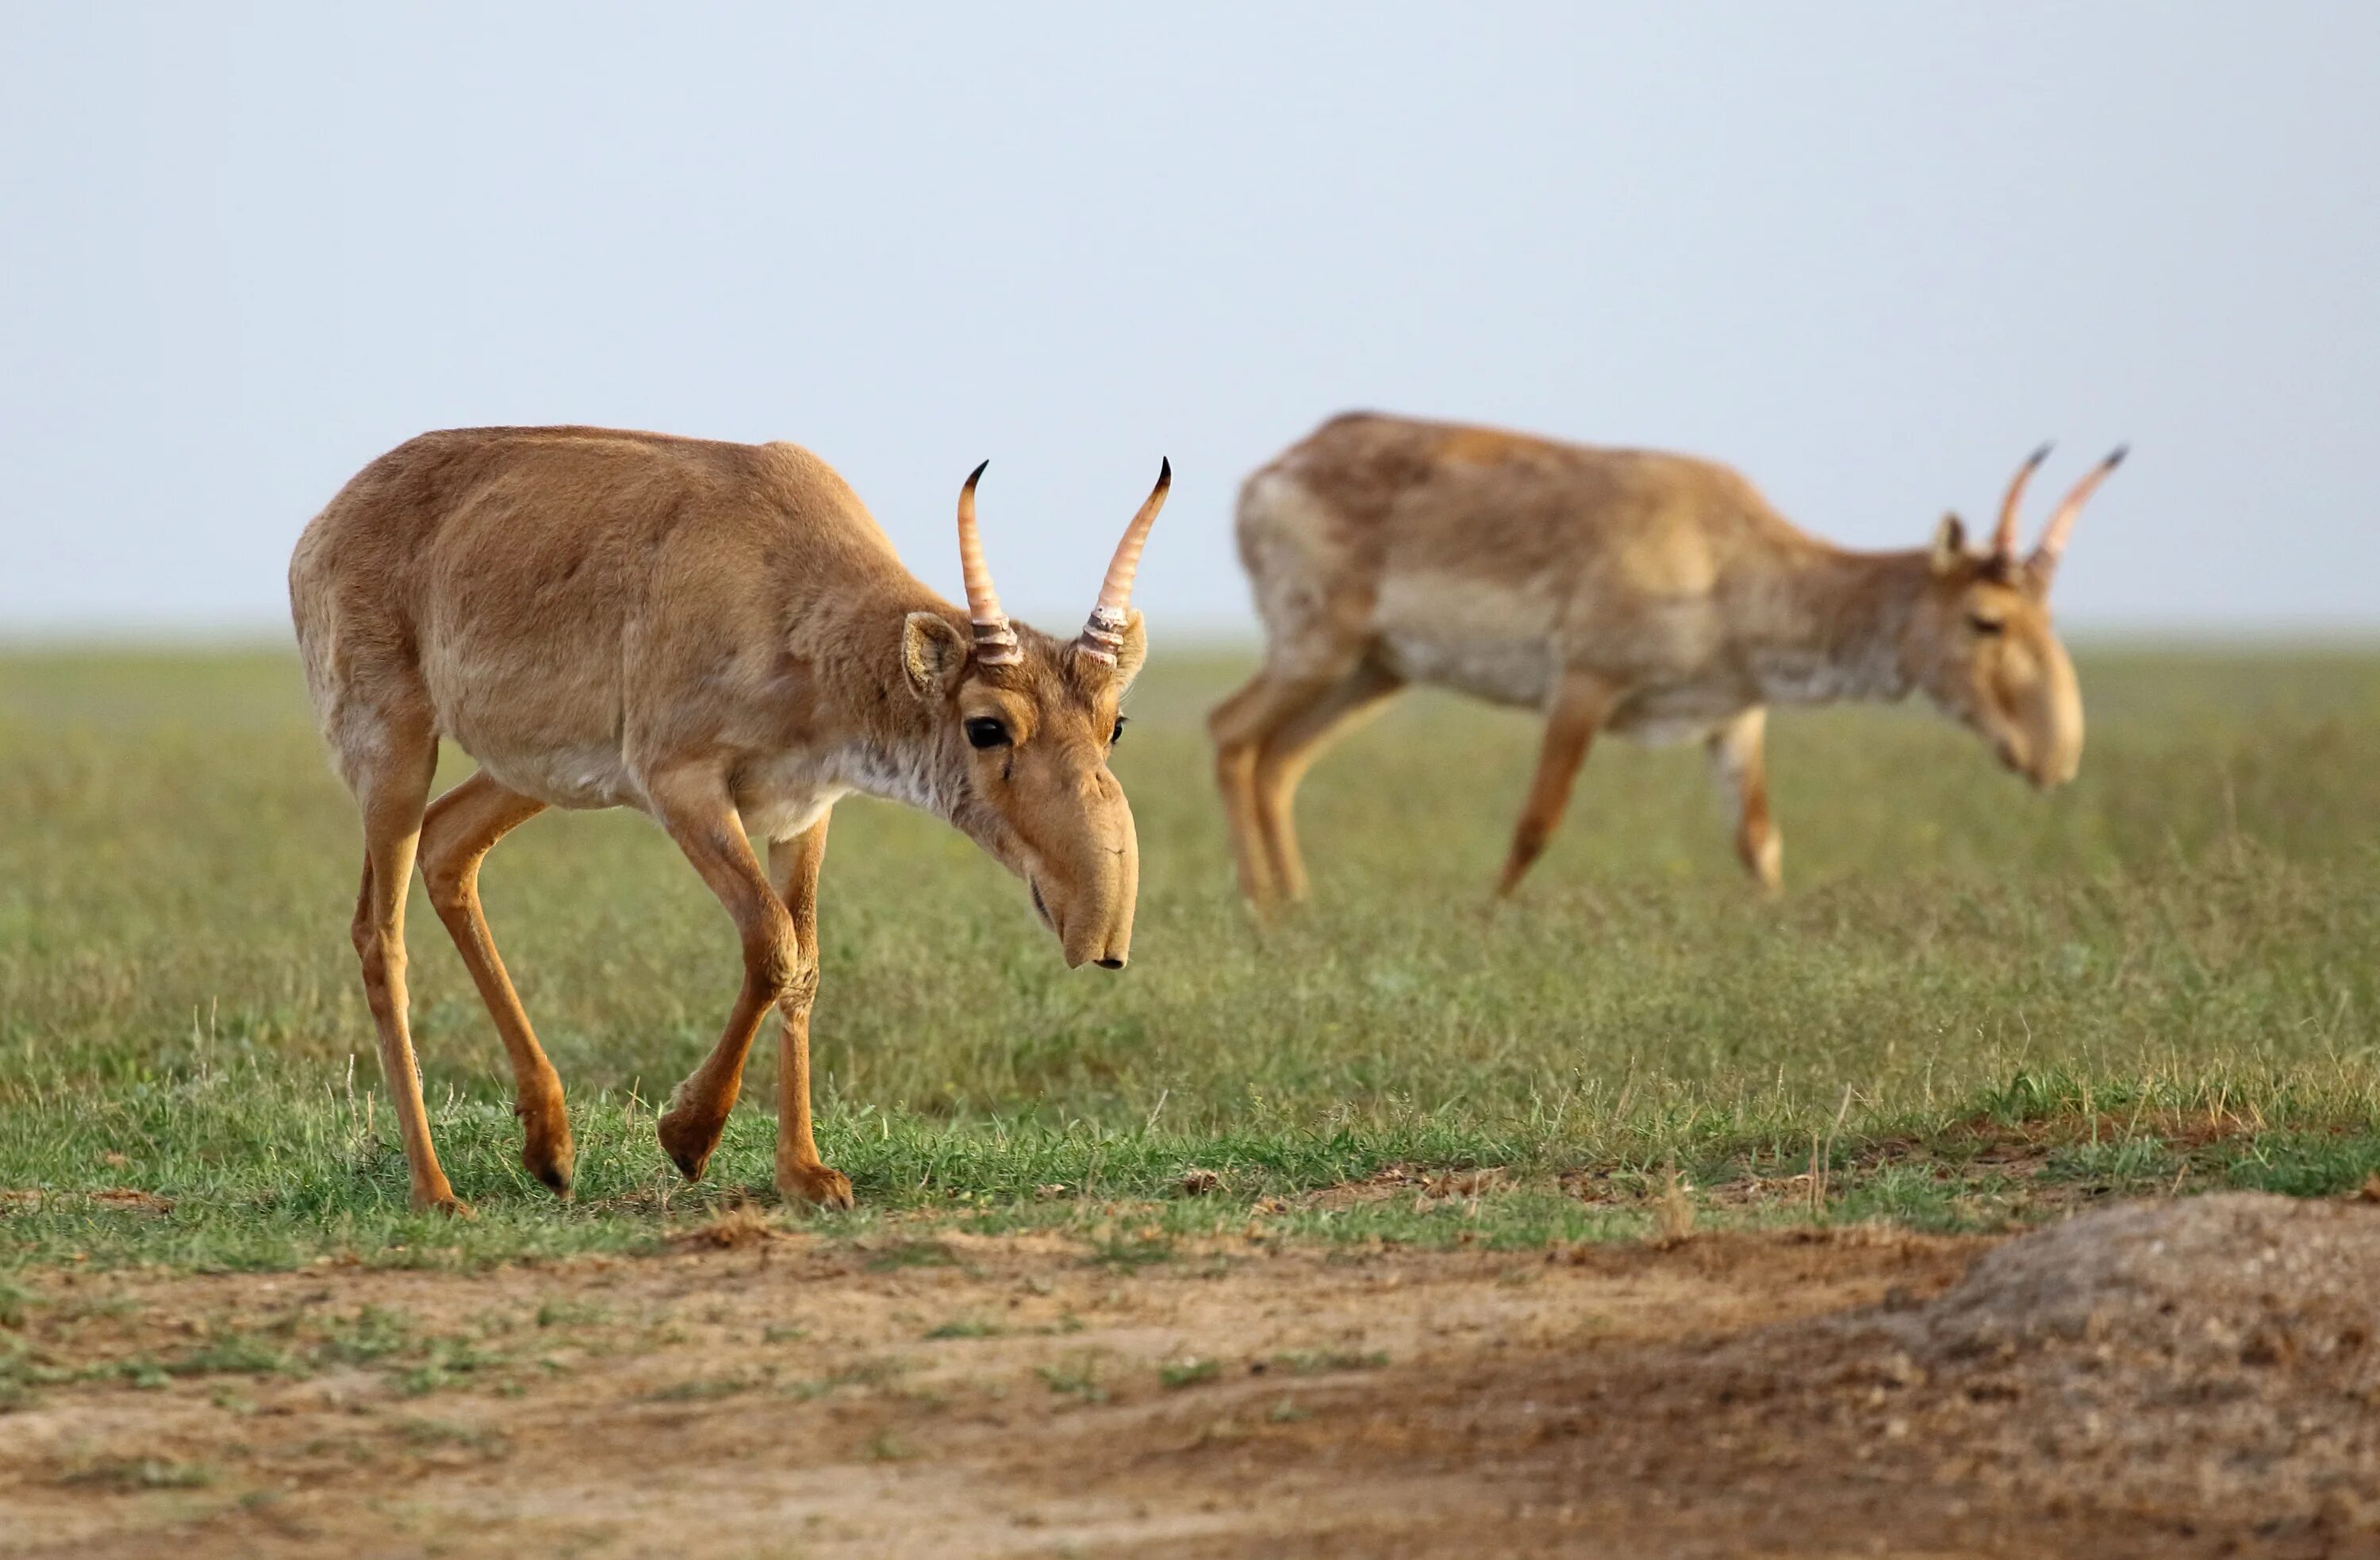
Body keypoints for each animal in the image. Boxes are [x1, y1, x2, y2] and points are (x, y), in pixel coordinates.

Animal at [293, 431, 1166, 1219]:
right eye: (987, 726)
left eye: (1116, 724)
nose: (1102, 935)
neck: (790, 591)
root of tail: (319, 528)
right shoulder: (682, 785)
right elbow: (772, 943)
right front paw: (688, 1136)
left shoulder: (805, 811)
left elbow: (804, 964)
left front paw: (806, 1173)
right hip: (394, 748)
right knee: (379, 933)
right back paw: (435, 1191)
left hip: (529, 774)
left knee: (447, 848)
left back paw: (550, 1147)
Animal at [1209, 409, 2123, 909]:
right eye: (1986, 620)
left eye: (2047, 615)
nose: (2058, 754)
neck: (1731, 563)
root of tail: (1265, 475)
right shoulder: (1583, 687)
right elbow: (1535, 823)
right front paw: (1485, 920)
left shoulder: (1735, 719)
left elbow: (1758, 841)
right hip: (1318, 648)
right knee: (1231, 731)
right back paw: (1263, 911)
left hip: (1377, 672)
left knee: (1279, 762)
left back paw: (1296, 905)